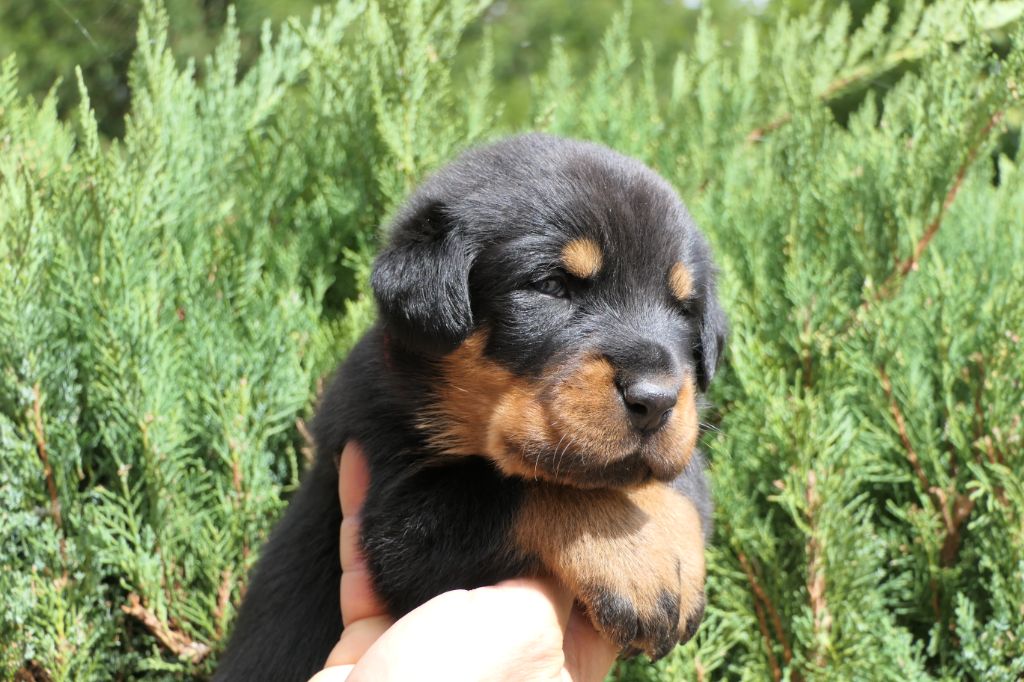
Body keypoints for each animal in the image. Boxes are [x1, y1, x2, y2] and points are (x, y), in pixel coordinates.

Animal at [215, 133, 726, 681]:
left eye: (685, 309)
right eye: (551, 286)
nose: (656, 399)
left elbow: (677, 474)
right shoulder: (392, 517)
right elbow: (531, 488)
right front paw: (635, 561)